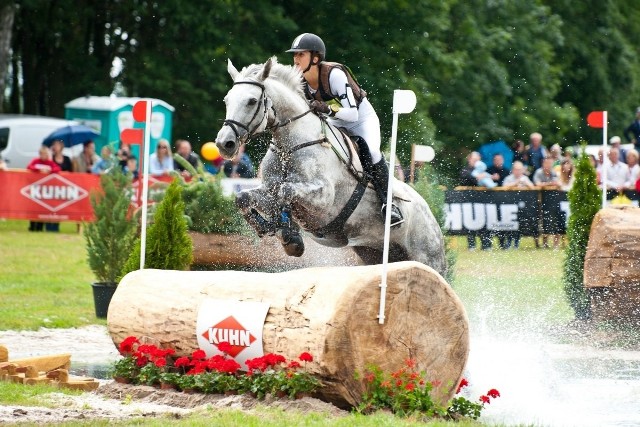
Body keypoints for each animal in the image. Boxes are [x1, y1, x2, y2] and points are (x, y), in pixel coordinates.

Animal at [215, 57, 444, 278]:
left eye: (252, 101)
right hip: (374, 253)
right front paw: (276, 230)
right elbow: (244, 197)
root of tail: (431, 214)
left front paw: (289, 233)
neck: (289, 147)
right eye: (227, 100)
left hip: (428, 258)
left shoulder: (324, 197)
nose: (224, 144)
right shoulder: (268, 190)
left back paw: (394, 214)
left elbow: (286, 191)